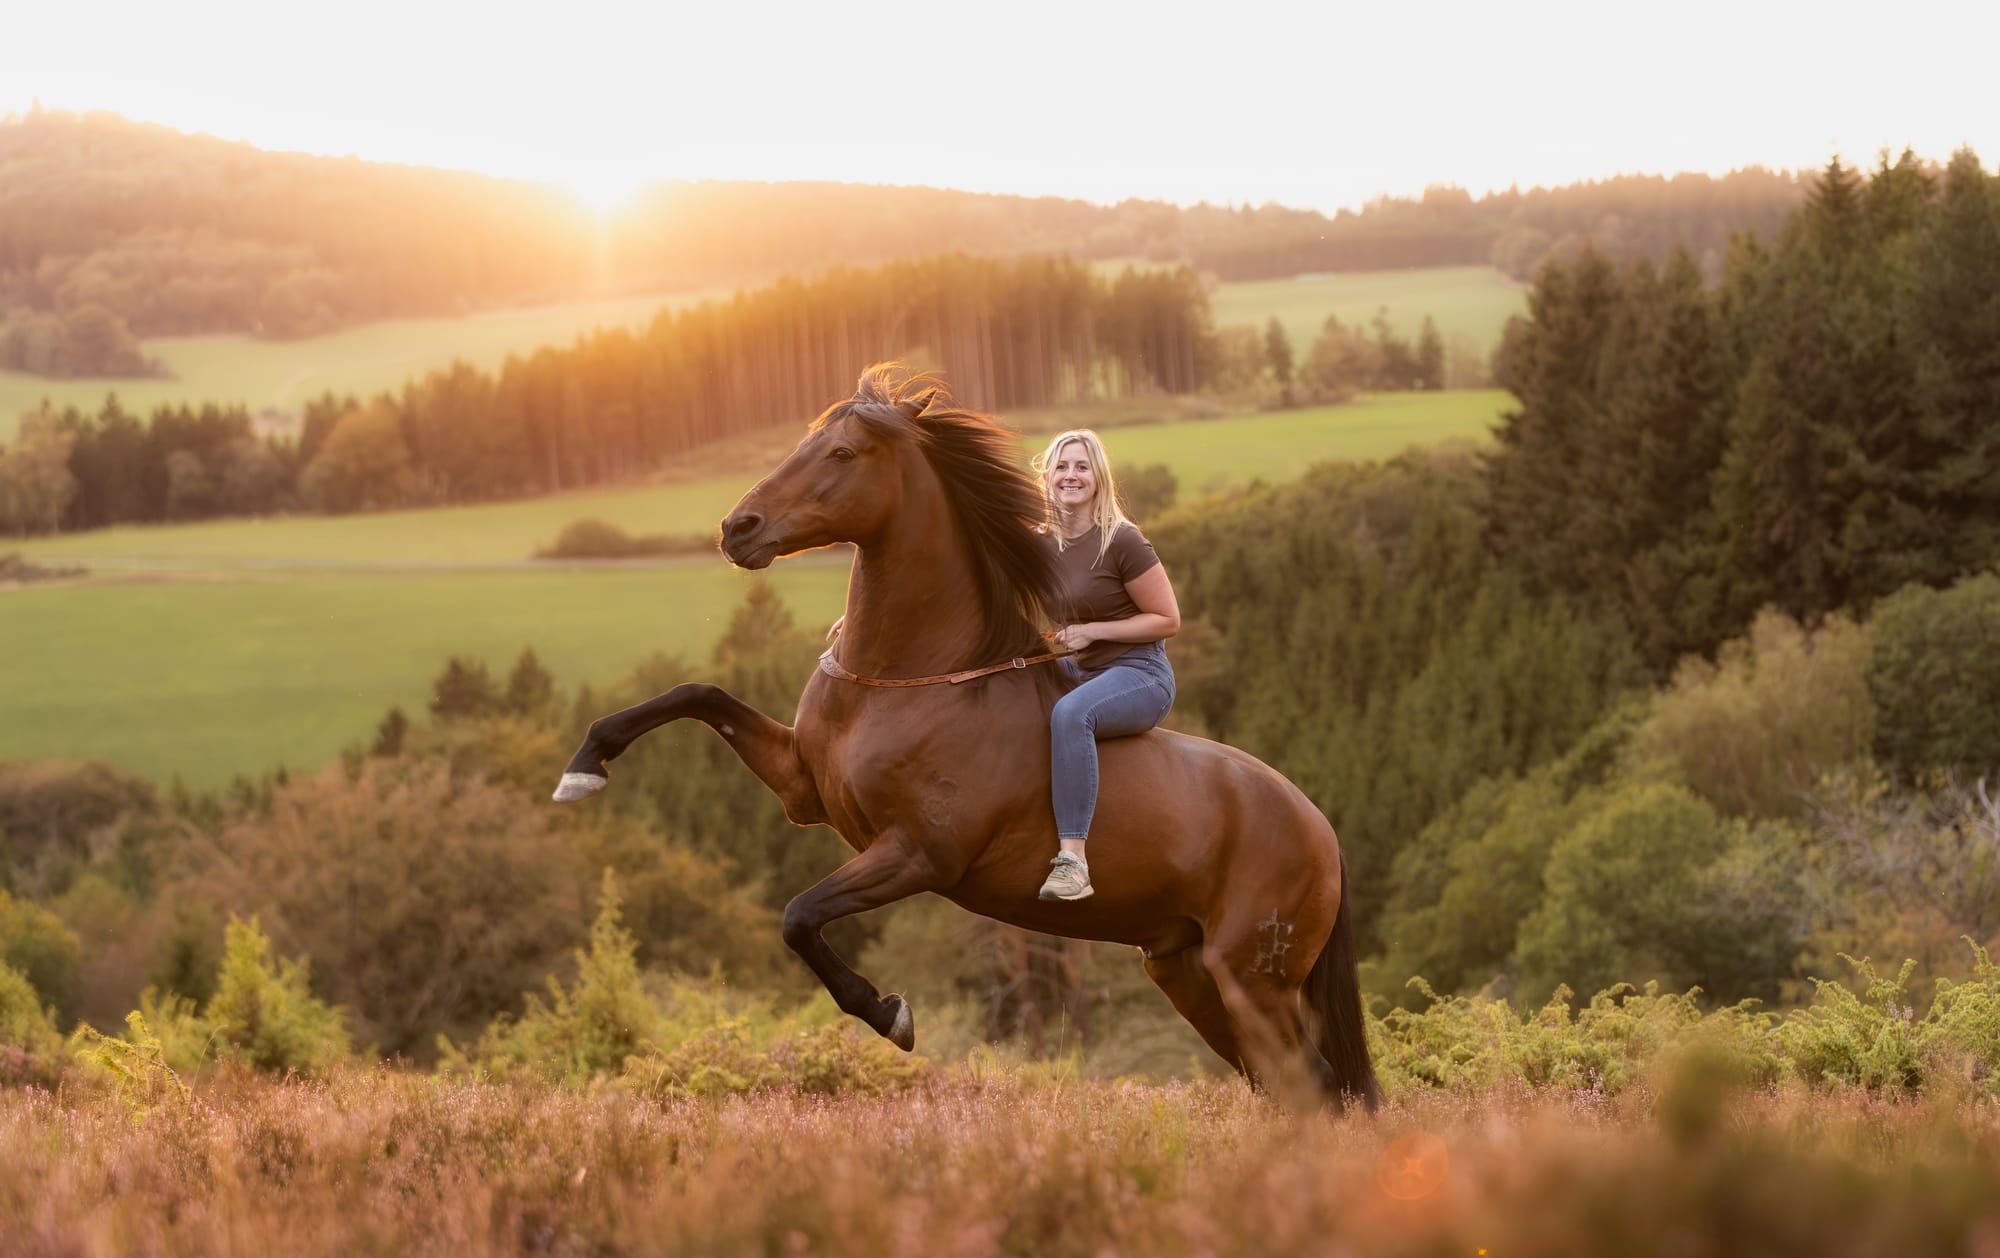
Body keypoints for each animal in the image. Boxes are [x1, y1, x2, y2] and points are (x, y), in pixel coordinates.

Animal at [553, 364, 1382, 1109]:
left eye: (842, 453)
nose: (738, 529)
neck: (912, 680)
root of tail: (1322, 830)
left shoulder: (917, 855)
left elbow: (799, 916)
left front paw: (892, 1015)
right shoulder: (802, 788)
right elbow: (698, 695)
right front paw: (584, 767)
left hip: (1252, 980)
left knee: (1312, 1084)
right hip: (1187, 972)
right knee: (1289, 1087)